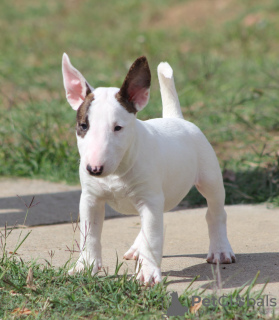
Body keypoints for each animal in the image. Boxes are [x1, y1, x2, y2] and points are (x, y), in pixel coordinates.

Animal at [61, 53, 236, 286]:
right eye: (83, 126)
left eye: (118, 127)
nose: (94, 169)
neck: (118, 169)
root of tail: (176, 118)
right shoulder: (91, 199)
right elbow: (89, 235)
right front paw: (84, 267)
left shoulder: (150, 199)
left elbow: (152, 237)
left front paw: (148, 274)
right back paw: (137, 249)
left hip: (210, 179)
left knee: (215, 213)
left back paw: (220, 251)